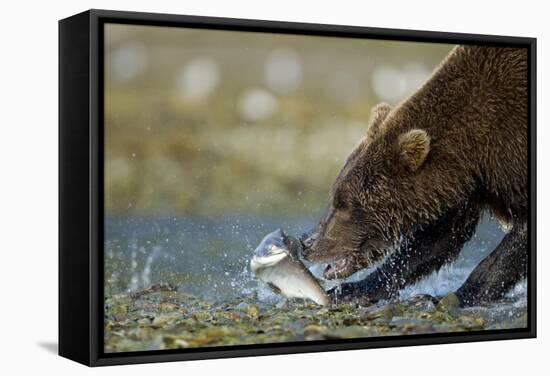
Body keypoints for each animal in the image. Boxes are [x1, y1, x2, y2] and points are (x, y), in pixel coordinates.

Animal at [302, 45, 532, 306]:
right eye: (334, 197)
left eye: (345, 203)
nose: (306, 241)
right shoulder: (463, 187)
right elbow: (433, 241)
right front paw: (354, 290)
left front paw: (452, 296)